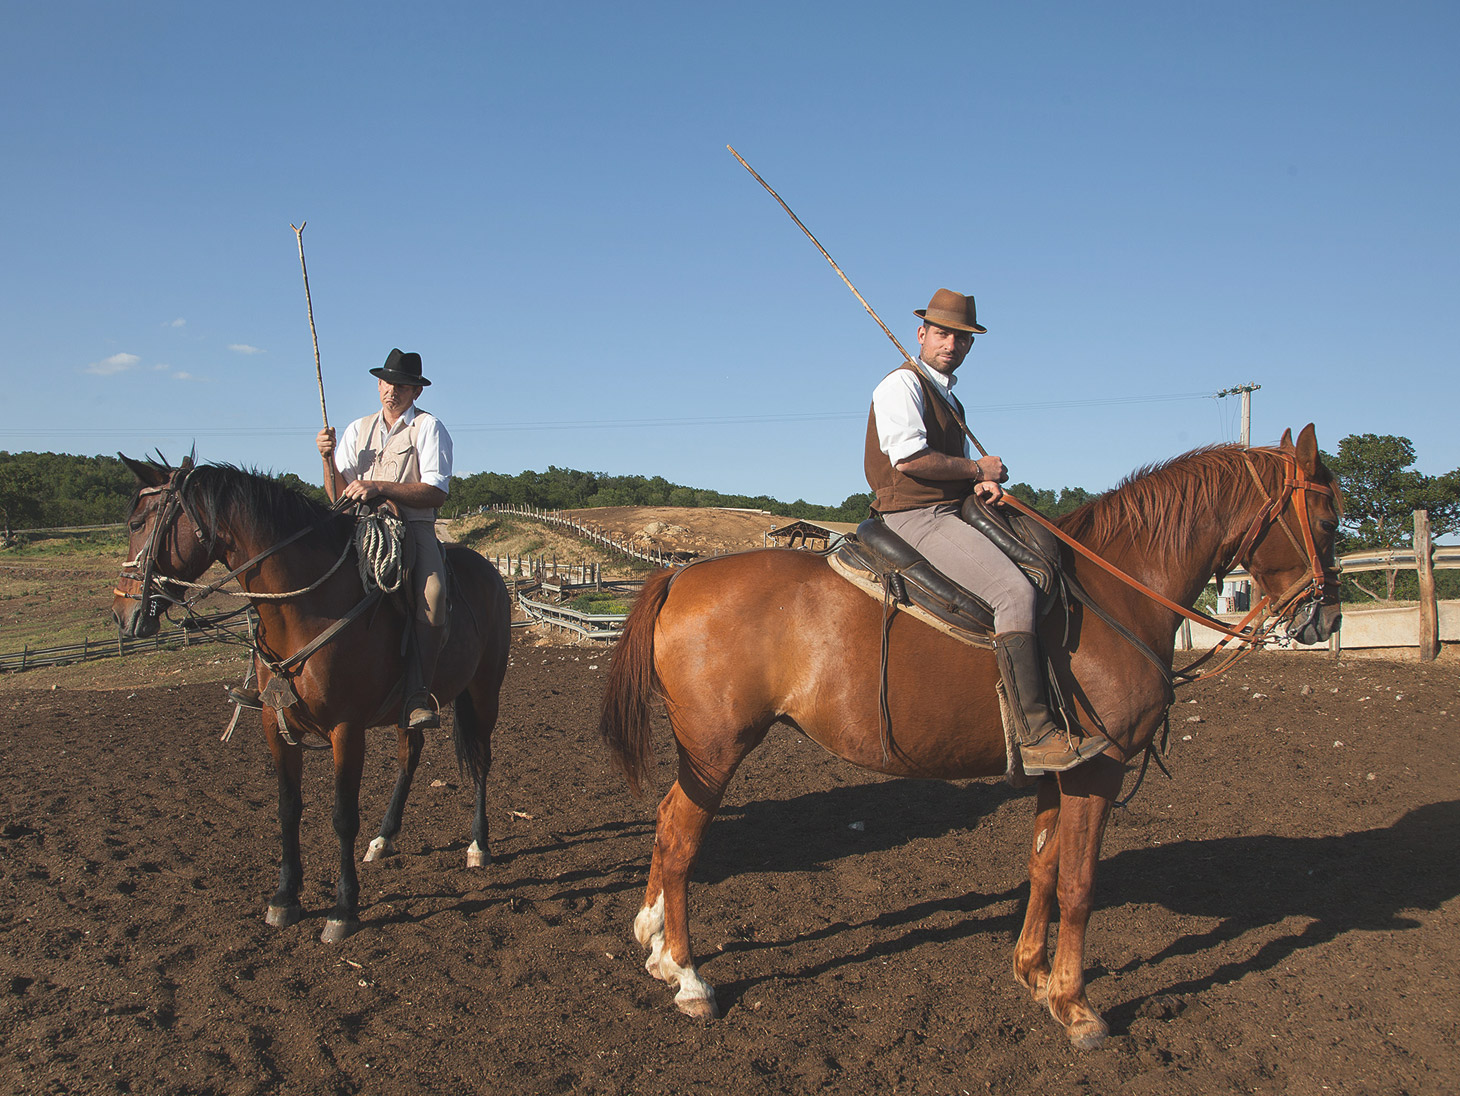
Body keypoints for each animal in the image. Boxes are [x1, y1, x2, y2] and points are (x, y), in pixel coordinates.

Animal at [113, 455, 513, 945]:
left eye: (137, 524)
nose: (123, 612)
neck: (304, 608)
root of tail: (491, 571)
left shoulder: (347, 730)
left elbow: (342, 816)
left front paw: (343, 909)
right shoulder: (275, 724)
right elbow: (288, 809)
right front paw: (285, 898)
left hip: (484, 692)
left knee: (481, 759)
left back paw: (478, 844)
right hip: (411, 709)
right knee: (410, 756)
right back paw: (385, 838)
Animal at [598, 423, 1337, 1050]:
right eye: (1329, 519)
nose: (1323, 619)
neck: (1113, 595)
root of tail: (678, 574)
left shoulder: (1060, 769)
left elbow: (1043, 867)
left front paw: (1033, 974)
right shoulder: (1098, 771)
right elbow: (1080, 884)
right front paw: (1076, 1007)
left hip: (702, 754)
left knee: (665, 824)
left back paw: (656, 944)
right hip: (718, 749)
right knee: (683, 841)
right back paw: (689, 977)